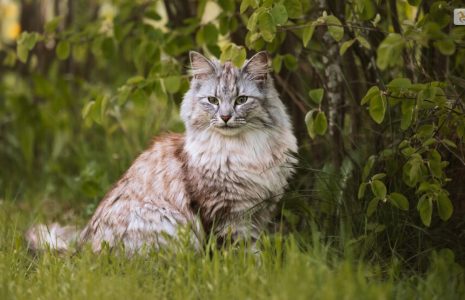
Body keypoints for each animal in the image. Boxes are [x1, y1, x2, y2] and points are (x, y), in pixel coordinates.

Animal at [26, 51, 298, 253]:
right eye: (212, 100)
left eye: (241, 100)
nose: (225, 117)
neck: (241, 150)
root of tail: (81, 251)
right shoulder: (225, 213)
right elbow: (238, 250)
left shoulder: (259, 210)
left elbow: (253, 248)